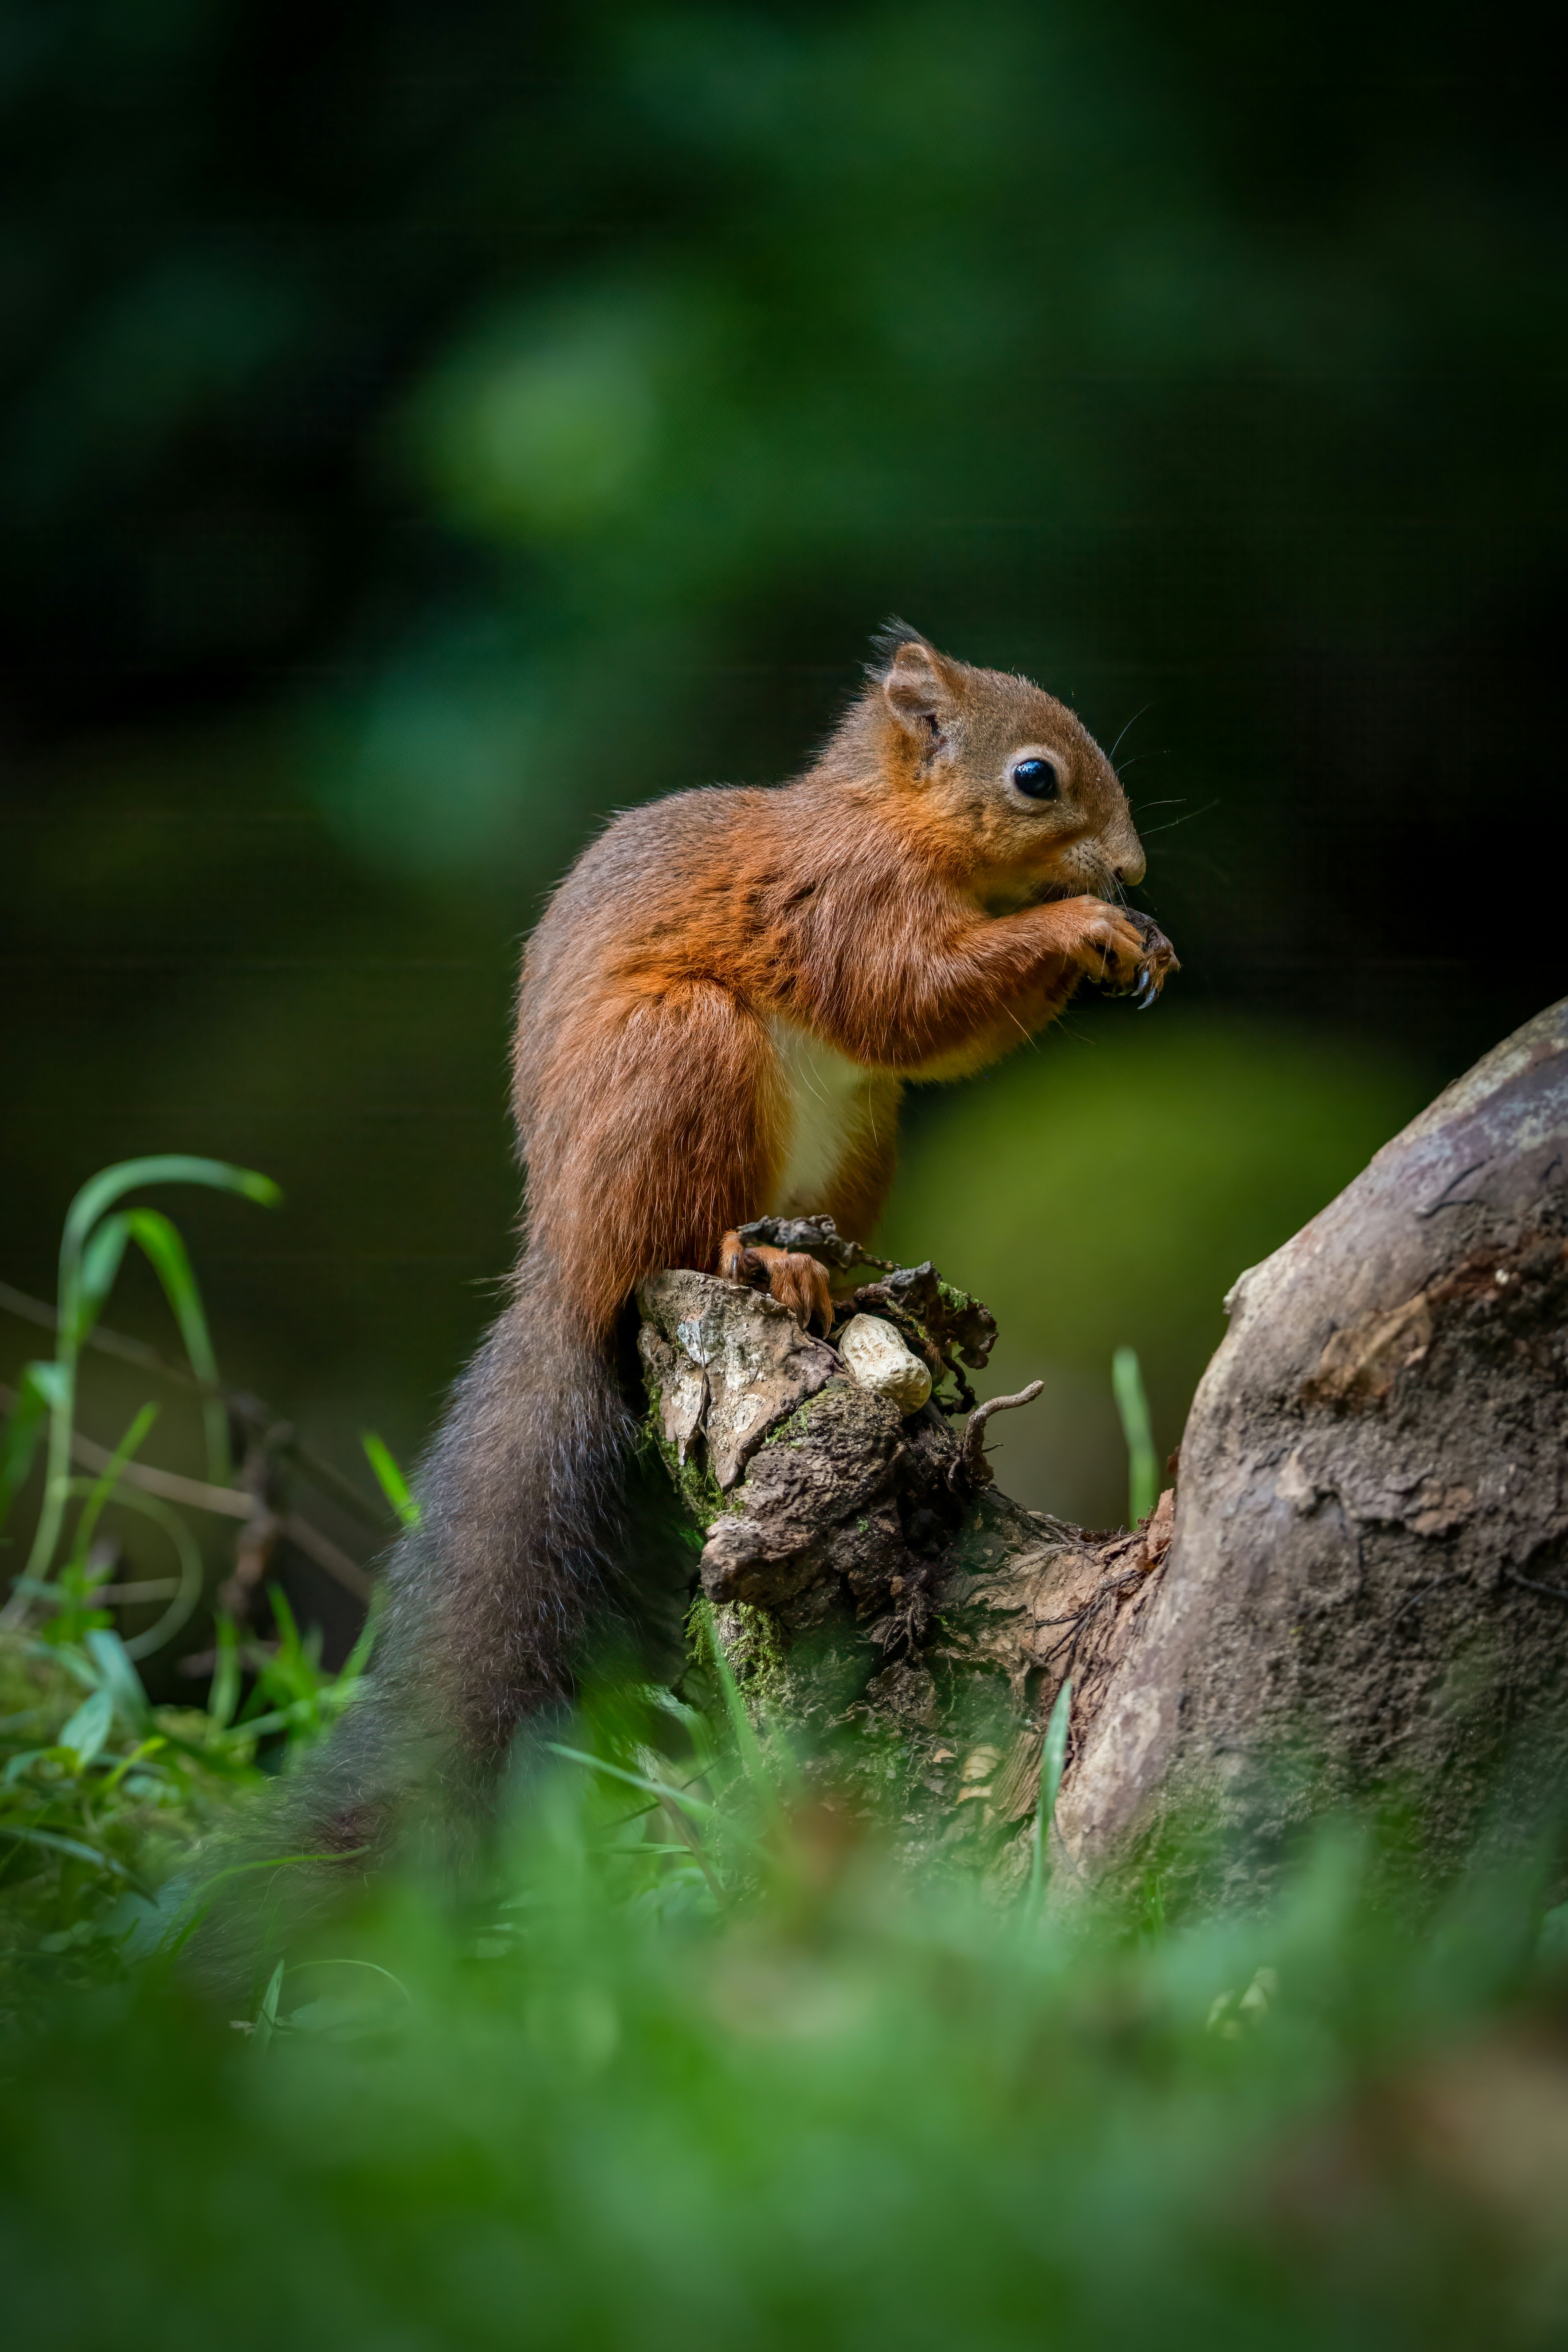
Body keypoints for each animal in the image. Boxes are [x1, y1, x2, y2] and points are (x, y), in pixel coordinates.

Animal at [194, 623, 1176, 1971]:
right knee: (688, 1232)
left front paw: (1133, 934)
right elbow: (903, 995)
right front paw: (1090, 923)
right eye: (1035, 777)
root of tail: (568, 1264)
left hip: (858, 1134)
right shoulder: (844, 902)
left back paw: (850, 1279)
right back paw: (763, 1263)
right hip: (684, 1055)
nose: (1131, 867)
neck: (890, 821)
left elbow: (935, 1031)